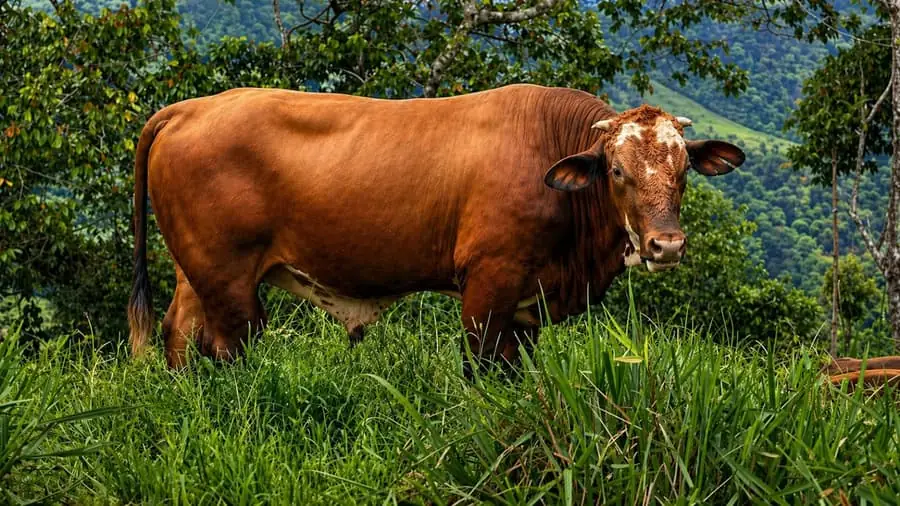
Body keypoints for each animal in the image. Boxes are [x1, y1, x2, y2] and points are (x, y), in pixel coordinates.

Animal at [128, 84, 744, 370]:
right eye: (616, 170)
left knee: (178, 331)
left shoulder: (528, 303)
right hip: (228, 278)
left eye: (684, 170)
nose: (666, 244)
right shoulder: (488, 283)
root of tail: (191, 107)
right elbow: (482, 367)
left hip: (195, 270)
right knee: (227, 344)